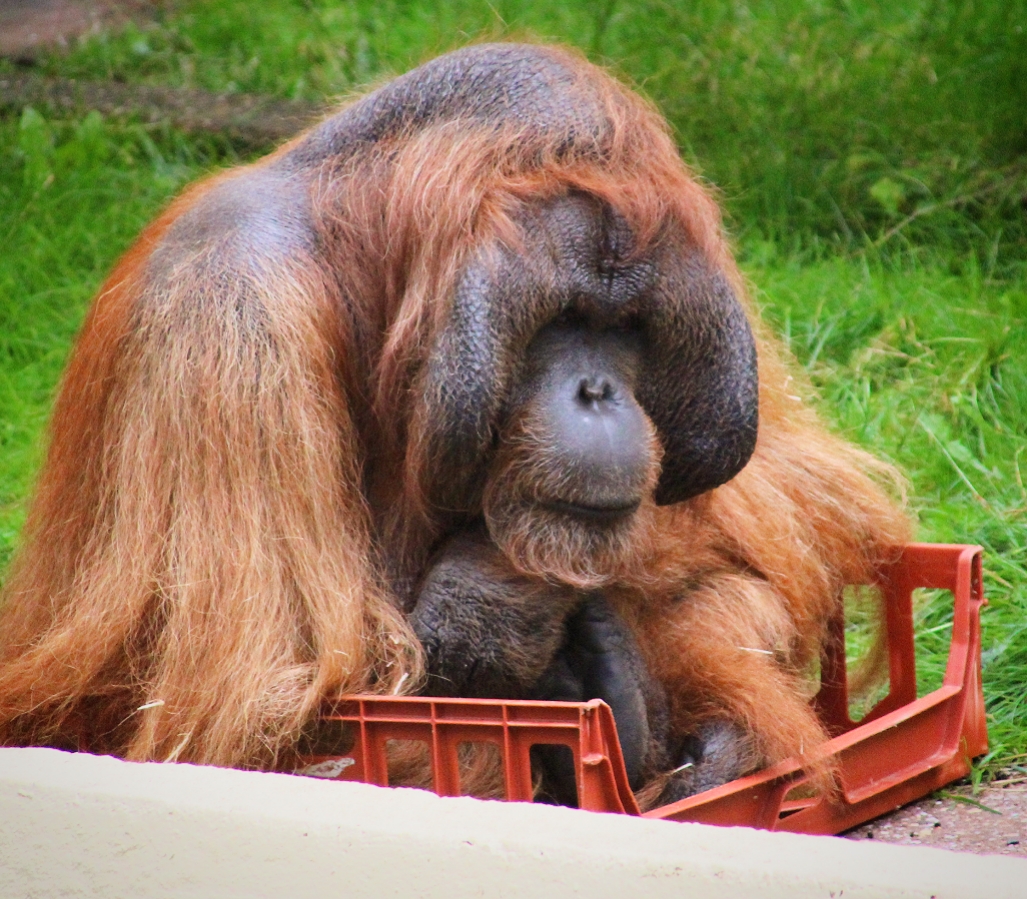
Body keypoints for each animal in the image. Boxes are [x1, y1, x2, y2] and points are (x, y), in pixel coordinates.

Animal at [0, 43, 910, 806]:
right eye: (563, 319)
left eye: (625, 328)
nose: (596, 392)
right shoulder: (228, 307)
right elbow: (259, 694)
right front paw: (496, 593)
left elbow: (796, 528)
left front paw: (697, 723)